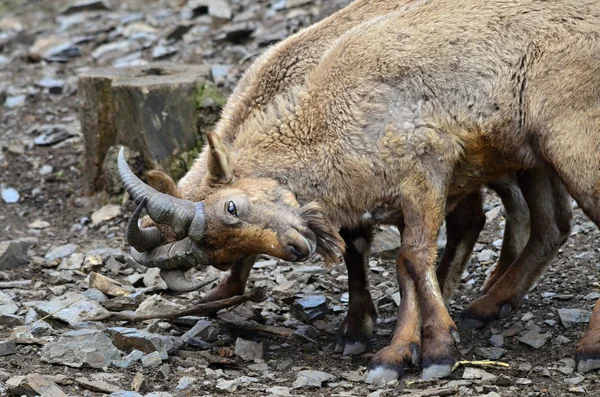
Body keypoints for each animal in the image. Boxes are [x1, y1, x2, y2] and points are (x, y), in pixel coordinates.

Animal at [118, 0, 600, 378]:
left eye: (232, 207)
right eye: (216, 252)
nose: (297, 248)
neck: (329, 117)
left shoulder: (428, 169)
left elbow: (413, 257)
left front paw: (430, 350)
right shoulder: (394, 198)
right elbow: (390, 262)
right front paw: (388, 346)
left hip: (568, 145)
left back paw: (585, 346)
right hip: (532, 157)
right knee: (551, 224)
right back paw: (489, 304)